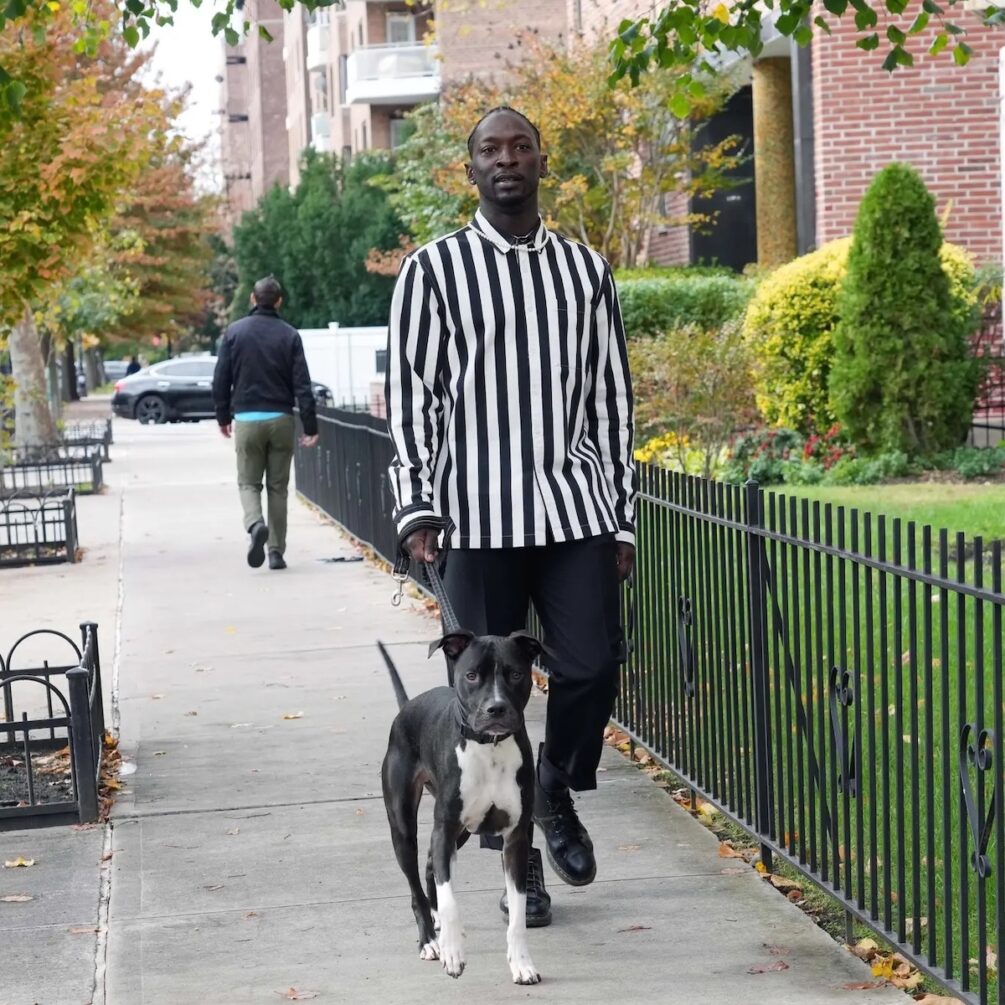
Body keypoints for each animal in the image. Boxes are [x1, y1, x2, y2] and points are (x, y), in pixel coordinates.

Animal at [377, 631, 546, 984]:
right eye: (471, 676)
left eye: (515, 674)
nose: (496, 708)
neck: (490, 749)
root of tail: (408, 706)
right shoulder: (444, 830)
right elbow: (451, 901)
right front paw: (453, 952)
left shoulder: (515, 840)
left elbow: (518, 913)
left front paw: (522, 963)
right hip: (404, 829)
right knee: (416, 886)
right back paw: (430, 940)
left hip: (462, 833)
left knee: (430, 866)